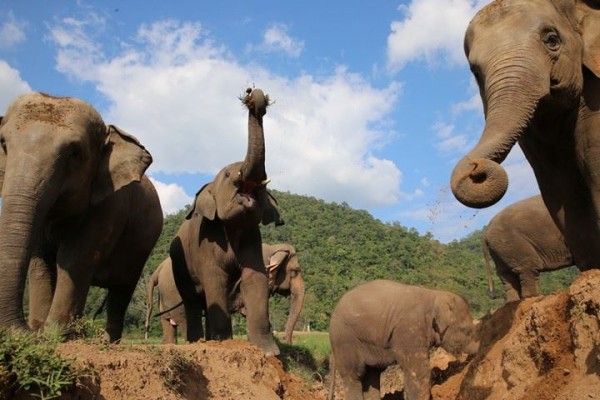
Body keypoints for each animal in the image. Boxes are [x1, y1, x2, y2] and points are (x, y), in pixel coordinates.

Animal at [0, 92, 163, 342]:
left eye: (74, 153)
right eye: (3, 145)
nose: (26, 331)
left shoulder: (110, 205)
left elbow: (75, 256)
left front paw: (56, 335)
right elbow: (40, 261)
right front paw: (42, 333)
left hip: (140, 249)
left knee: (121, 290)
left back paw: (108, 341)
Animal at [145, 242, 304, 346]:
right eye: (295, 271)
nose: (287, 342)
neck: (273, 248)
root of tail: (158, 270)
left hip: (165, 295)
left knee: (167, 323)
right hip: (175, 292)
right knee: (184, 318)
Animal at [168, 87, 282, 356]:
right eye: (229, 174)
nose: (254, 97)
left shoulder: (252, 238)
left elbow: (255, 278)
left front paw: (270, 351)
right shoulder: (208, 241)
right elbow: (215, 279)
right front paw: (224, 344)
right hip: (180, 264)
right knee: (192, 300)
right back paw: (198, 341)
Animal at [328, 280, 478, 400]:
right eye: (466, 330)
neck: (435, 294)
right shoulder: (410, 329)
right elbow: (417, 369)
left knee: (372, 376)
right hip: (344, 339)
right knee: (354, 375)